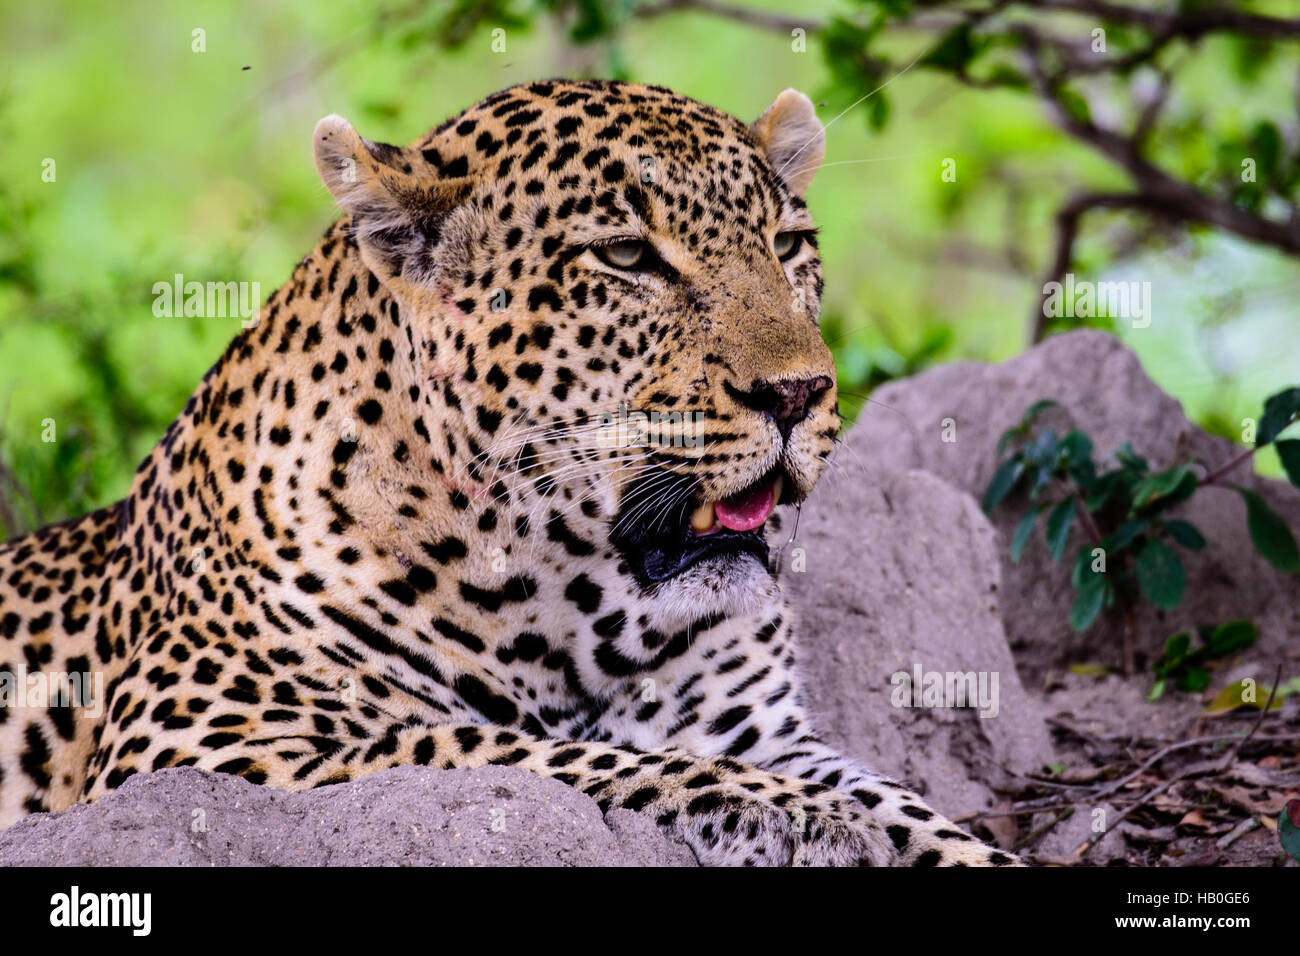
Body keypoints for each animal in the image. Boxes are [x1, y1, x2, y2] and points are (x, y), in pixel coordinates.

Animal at [0, 78, 1013, 863]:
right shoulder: (206, 742)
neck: (574, 607)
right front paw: (794, 815)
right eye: (626, 256)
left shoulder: (762, 727)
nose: (800, 393)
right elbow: (501, 749)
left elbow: (920, 815)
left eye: (789, 244)